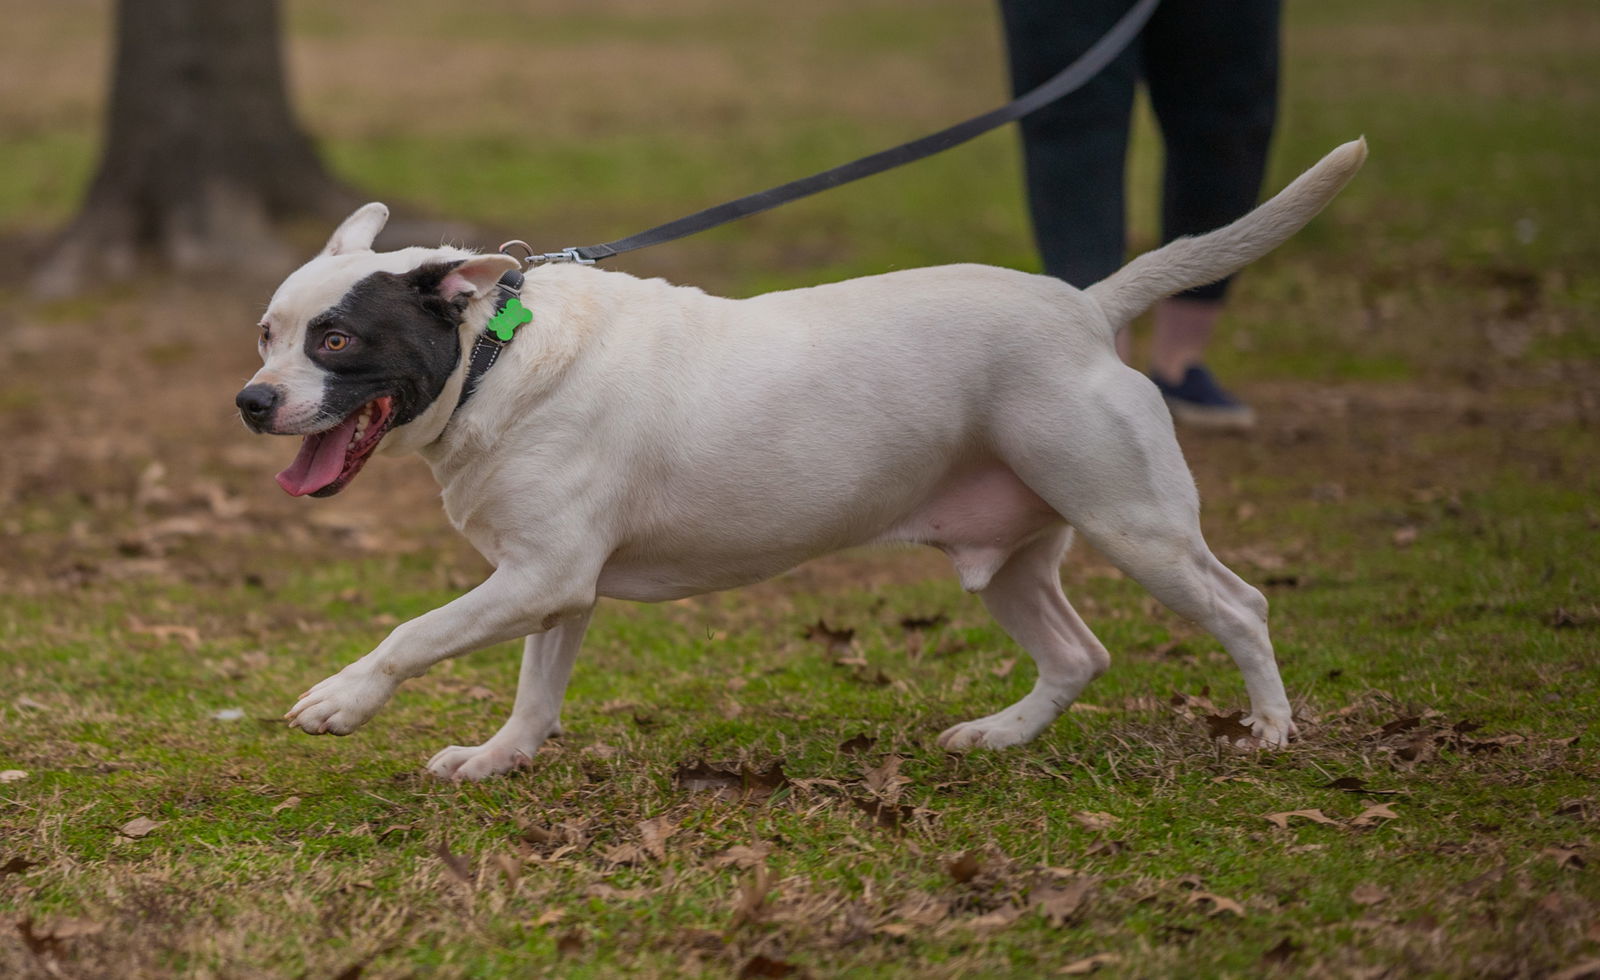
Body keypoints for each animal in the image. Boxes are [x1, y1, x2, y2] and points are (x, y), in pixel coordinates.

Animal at [233, 140, 1363, 781]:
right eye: (265, 333)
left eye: (336, 340)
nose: (251, 402)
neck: (495, 359)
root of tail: (1086, 307)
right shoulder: (551, 584)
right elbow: (535, 692)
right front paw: (497, 760)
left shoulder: (538, 576)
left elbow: (414, 632)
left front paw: (340, 700)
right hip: (1009, 560)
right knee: (1077, 653)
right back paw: (998, 737)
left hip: (1138, 526)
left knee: (1238, 606)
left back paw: (1269, 728)